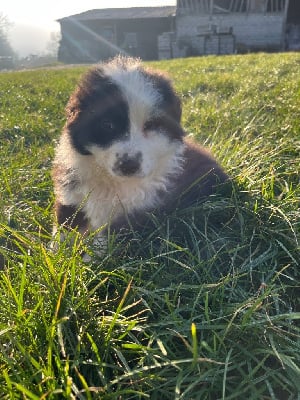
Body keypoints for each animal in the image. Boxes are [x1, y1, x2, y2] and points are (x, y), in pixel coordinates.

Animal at [52, 56, 230, 250]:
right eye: (108, 125)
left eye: (151, 125)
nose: (129, 165)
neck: (113, 182)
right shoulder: (71, 195)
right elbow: (63, 228)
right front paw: (55, 254)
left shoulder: (135, 215)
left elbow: (105, 243)